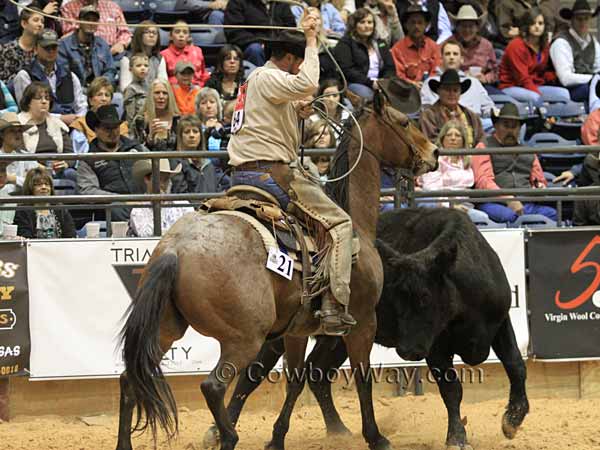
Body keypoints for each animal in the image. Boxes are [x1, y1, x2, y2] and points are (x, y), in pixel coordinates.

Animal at [115, 91, 438, 450]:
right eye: (404, 122)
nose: (433, 153)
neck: (355, 224)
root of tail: (175, 249)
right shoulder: (363, 320)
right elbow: (362, 376)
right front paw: (376, 436)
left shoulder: (295, 331)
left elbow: (295, 380)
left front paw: (277, 437)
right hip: (243, 338)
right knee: (213, 386)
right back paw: (228, 436)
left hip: (166, 328)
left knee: (131, 379)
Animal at [203, 208, 528, 450]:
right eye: (396, 297)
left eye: (425, 297)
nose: (408, 351)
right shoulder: (435, 346)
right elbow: (452, 388)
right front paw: (457, 437)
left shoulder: (500, 321)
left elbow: (516, 364)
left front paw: (513, 418)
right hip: (284, 335)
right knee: (252, 375)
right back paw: (219, 431)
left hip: (336, 338)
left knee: (317, 373)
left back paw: (338, 430)